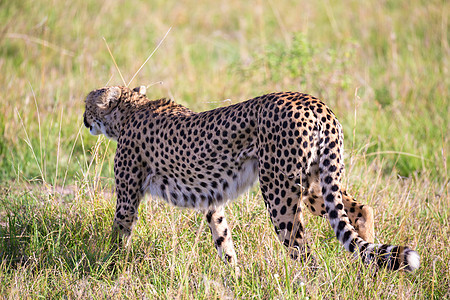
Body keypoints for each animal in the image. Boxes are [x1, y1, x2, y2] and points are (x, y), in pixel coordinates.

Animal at [82, 85, 420, 272]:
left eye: (87, 104)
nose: (83, 119)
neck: (131, 111)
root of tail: (314, 102)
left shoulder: (127, 199)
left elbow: (118, 234)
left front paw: (105, 267)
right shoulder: (212, 201)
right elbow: (223, 238)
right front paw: (234, 275)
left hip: (279, 191)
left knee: (304, 250)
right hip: (314, 184)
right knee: (360, 210)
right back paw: (372, 274)